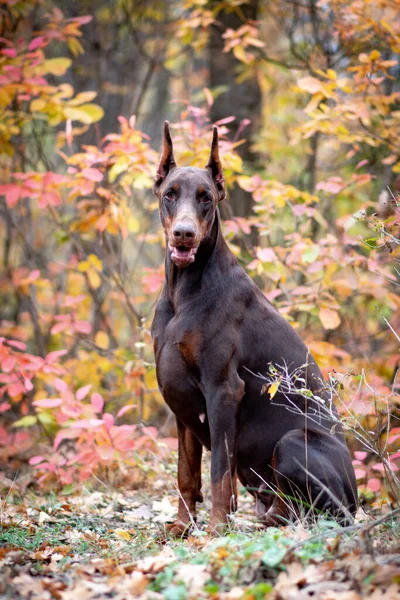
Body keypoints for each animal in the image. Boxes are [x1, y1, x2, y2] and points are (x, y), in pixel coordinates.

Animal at [152, 122, 358, 536]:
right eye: (170, 194)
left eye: (206, 198)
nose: (184, 233)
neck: (184, 290)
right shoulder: (180, 399)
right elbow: (186, 474)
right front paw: (182, 527)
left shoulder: (223, 390)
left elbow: (218, 472)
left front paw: (216, 529)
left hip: (295, 443)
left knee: (315, 511)